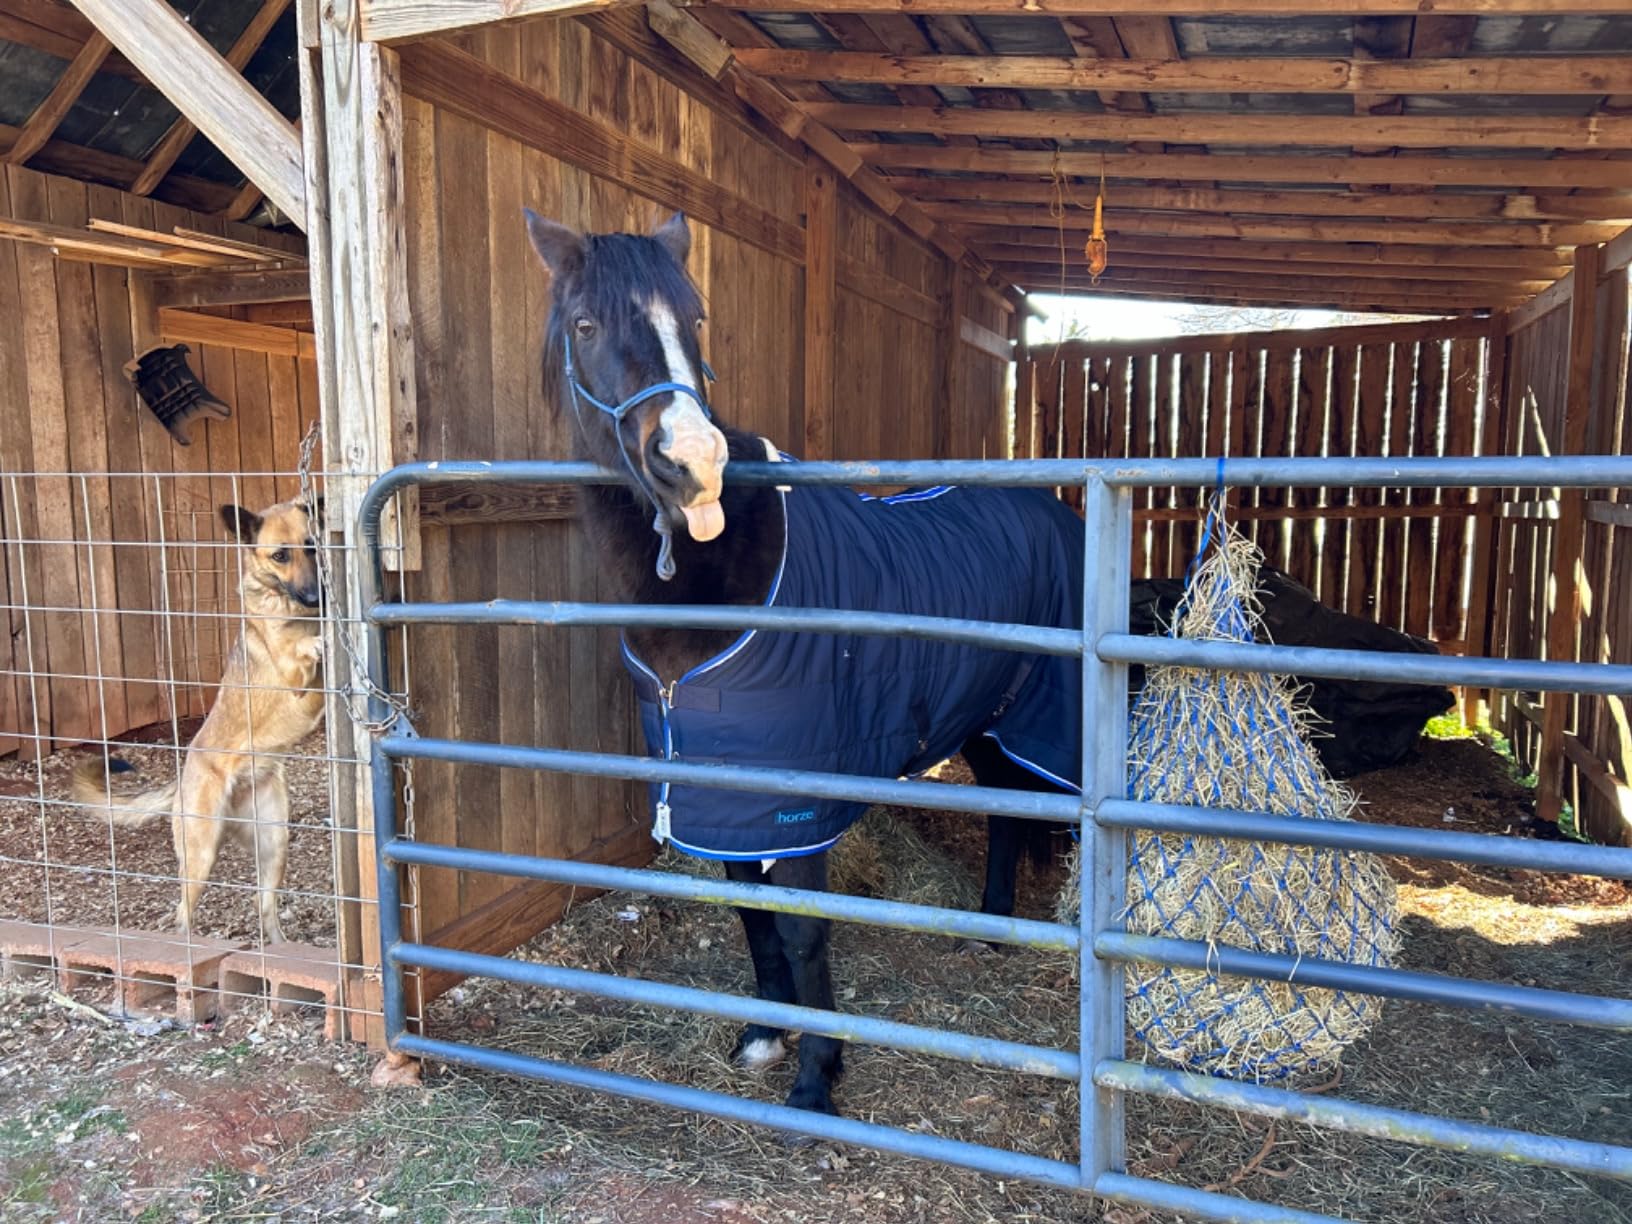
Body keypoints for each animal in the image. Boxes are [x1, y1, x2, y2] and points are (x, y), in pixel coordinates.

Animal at [524, 209, 1082, 1118]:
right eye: (585, 326)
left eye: (696, 319)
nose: (693, 465)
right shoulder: (724, 791)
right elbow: (752, 912)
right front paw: (764, 1034)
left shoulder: (797, 797)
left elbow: (800, 926)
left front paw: (818, 1076)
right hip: (988, 714)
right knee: (1007, 811)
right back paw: (992, 928)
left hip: (1045, 716)